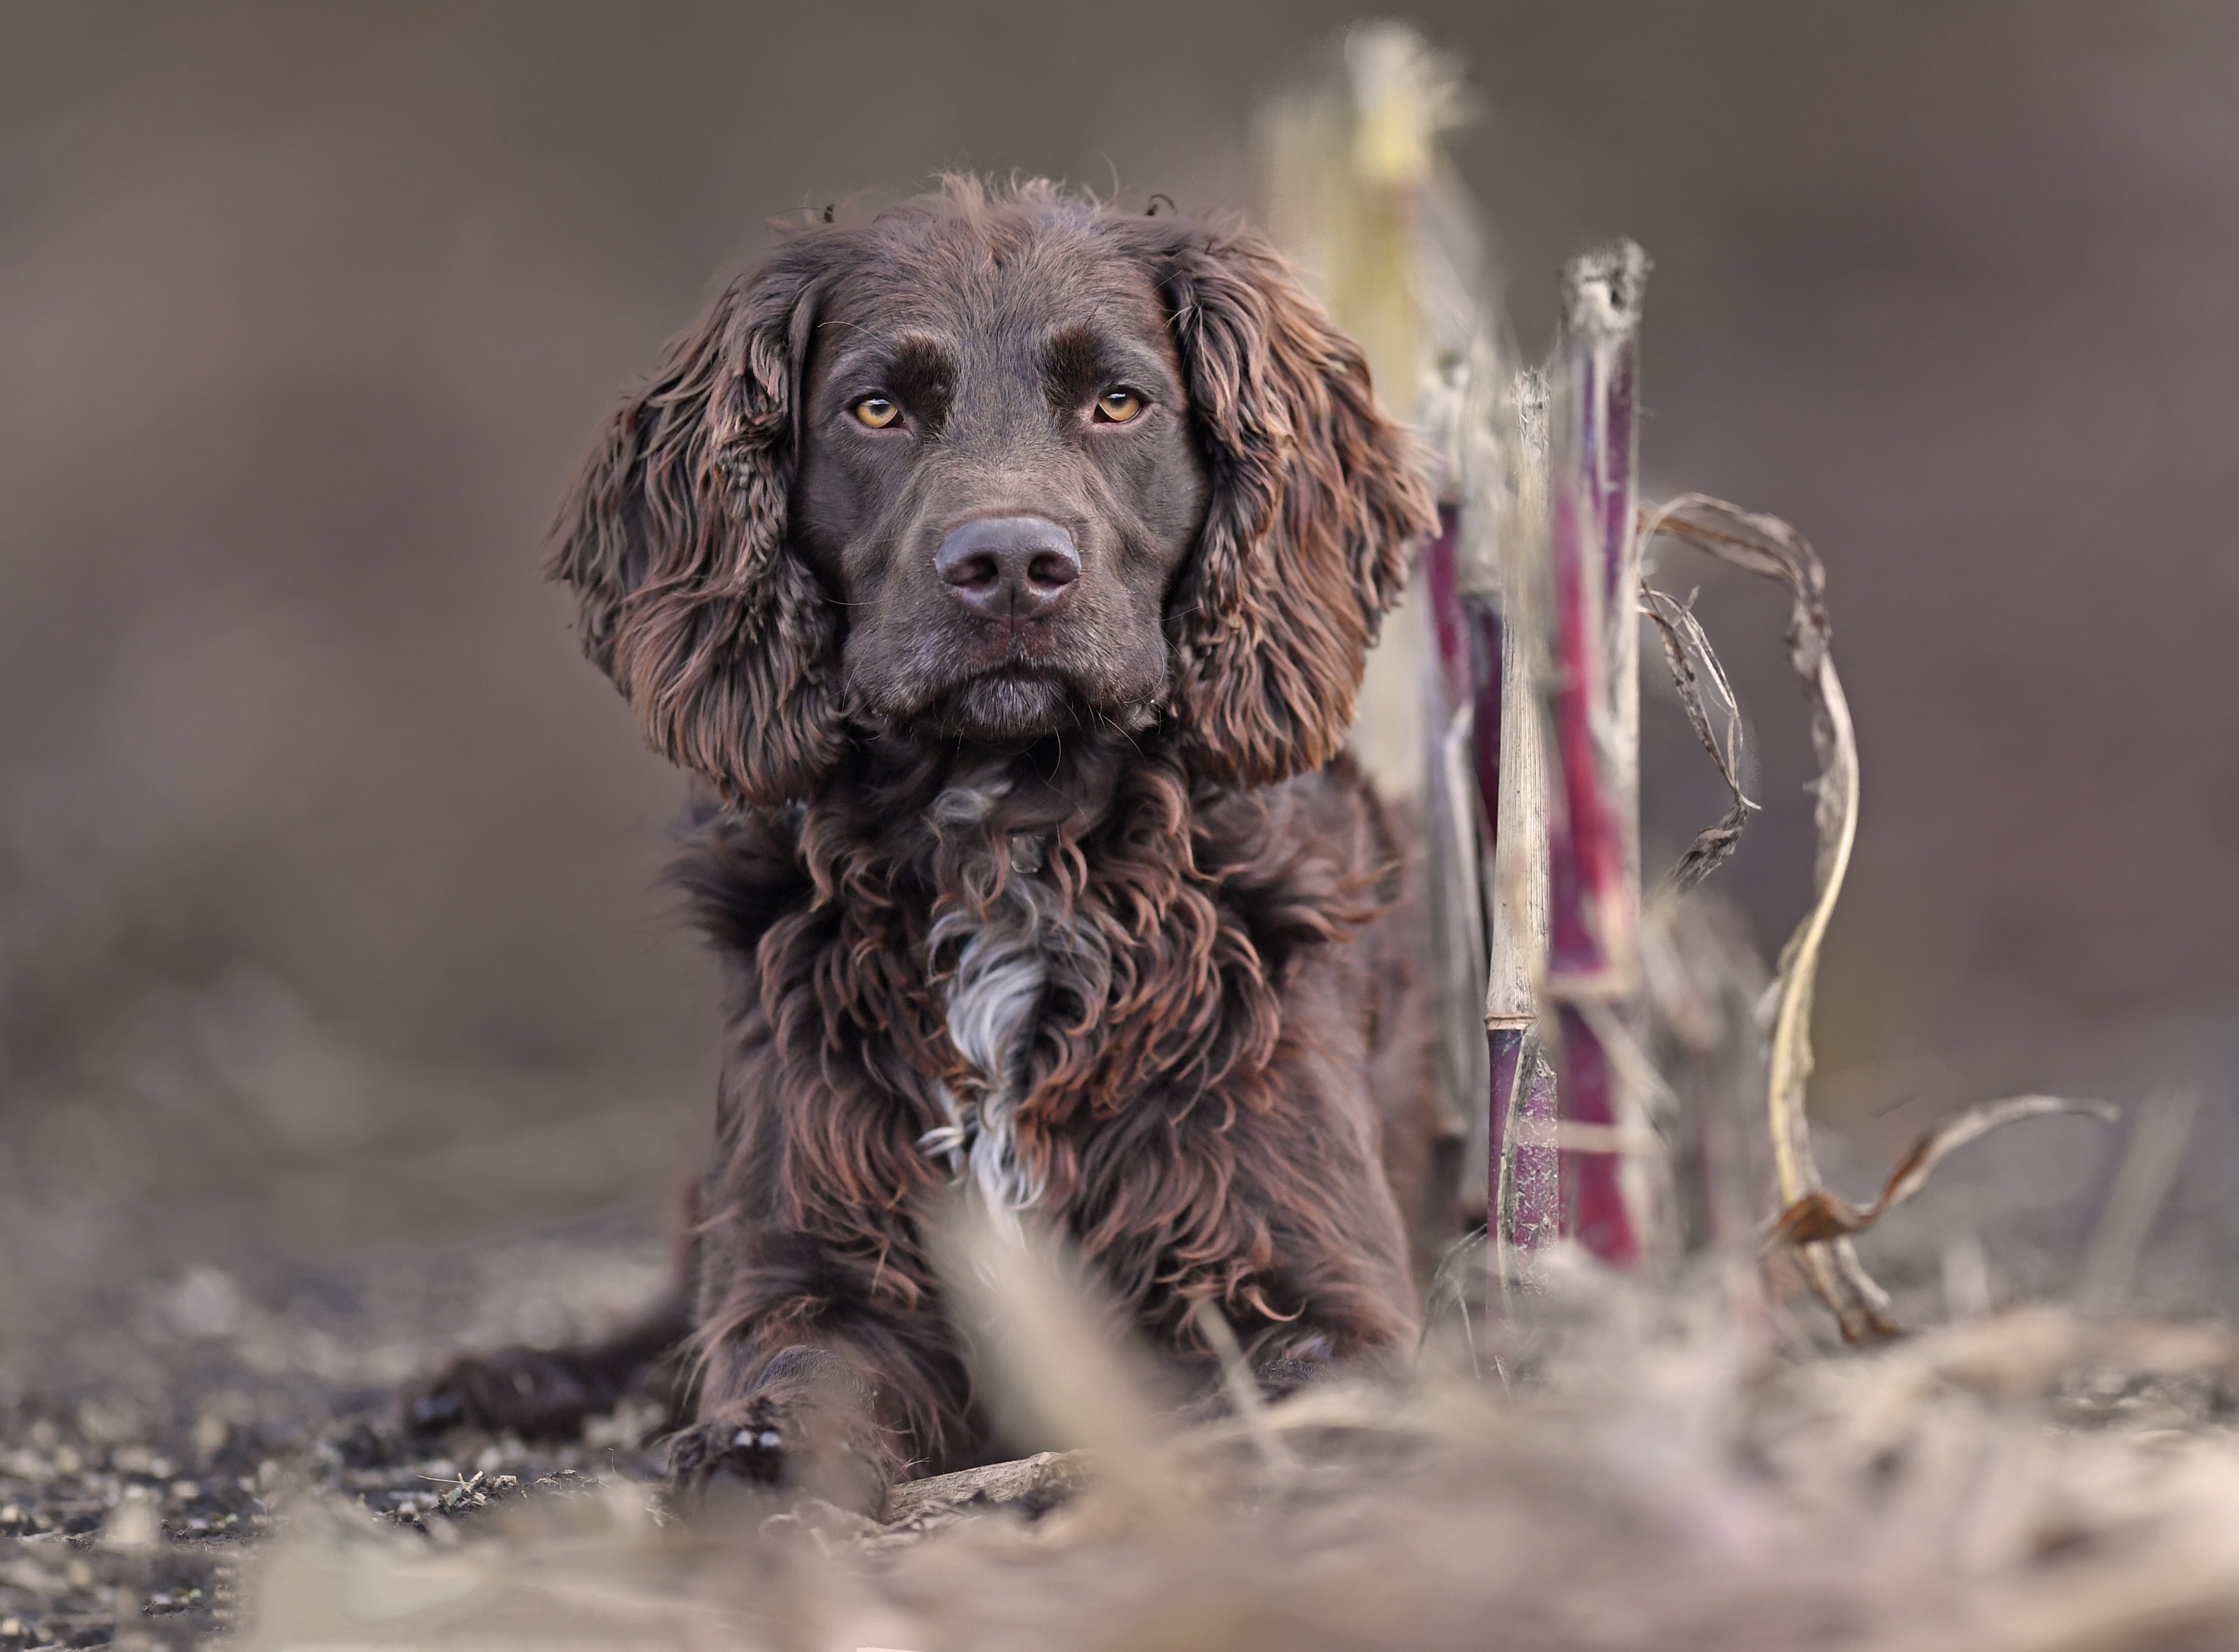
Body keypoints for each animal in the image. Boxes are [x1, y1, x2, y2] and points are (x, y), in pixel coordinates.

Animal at [411, 177, 1441, 1504]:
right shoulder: (815, 1259)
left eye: (1118, 401)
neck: (1005, 837)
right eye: (878, 409)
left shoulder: (1317, 1289)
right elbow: (791, 1373)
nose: (1007, 565)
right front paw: (749, 1458)